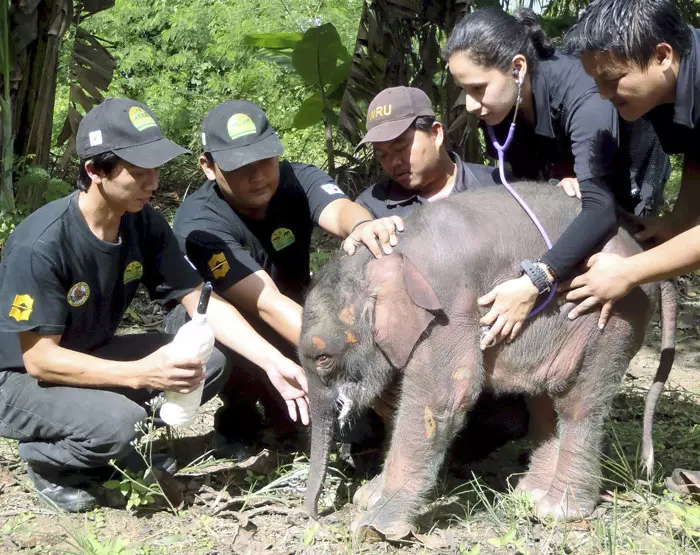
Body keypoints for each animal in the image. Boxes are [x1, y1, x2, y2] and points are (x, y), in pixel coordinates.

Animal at [300, 185, 672, 540]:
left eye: (323, 359)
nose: (317, 517)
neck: (388, 257)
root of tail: (641, 249)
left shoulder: (450, 308)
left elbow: (441, 400)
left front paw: (372, 527)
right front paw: (369, 497)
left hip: (610, 313)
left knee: (577, 403)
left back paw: (557, 511)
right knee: (545, 400)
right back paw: (529, 495)